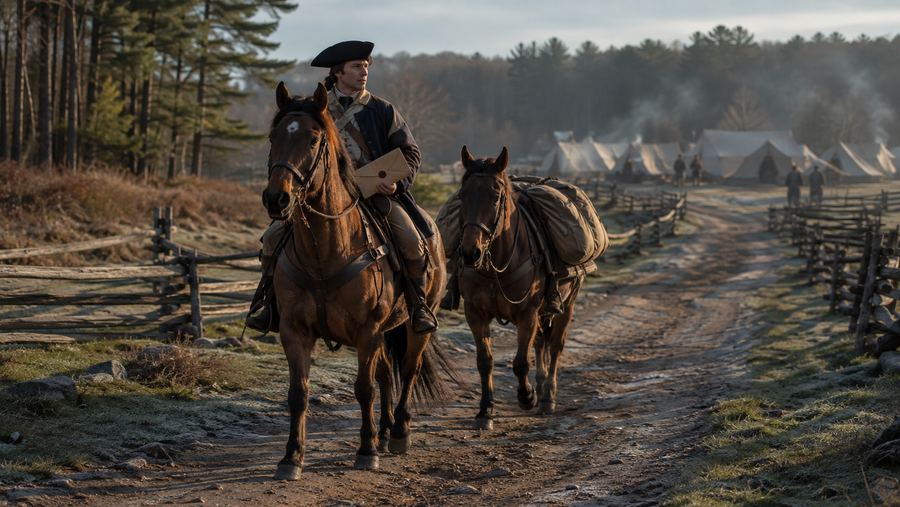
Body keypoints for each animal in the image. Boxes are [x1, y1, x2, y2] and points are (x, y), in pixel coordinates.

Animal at [262, 81, 451, 480]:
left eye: (314, 139)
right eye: (274, 136)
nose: (277, 199)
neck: (325, 251)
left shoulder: (367, 330)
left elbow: (364, 389)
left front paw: (366, 451)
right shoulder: (294, 332)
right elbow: (298, 394)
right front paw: (292, 457)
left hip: (415, 327)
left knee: (407, 371)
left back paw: (398, 433)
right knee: (387, 375)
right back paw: (384, 430)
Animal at [456, 146, 583, 430]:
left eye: (495, 197)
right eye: (462, 196)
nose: (470, 253)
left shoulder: (527, 313)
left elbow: (521, 363)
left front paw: (527, 397)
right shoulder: (475, 314)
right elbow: (485, 362)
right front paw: (485, 411)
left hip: (567, 305)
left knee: (555, 346)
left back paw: (547, 396)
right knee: (540, 343)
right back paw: (541, 384)